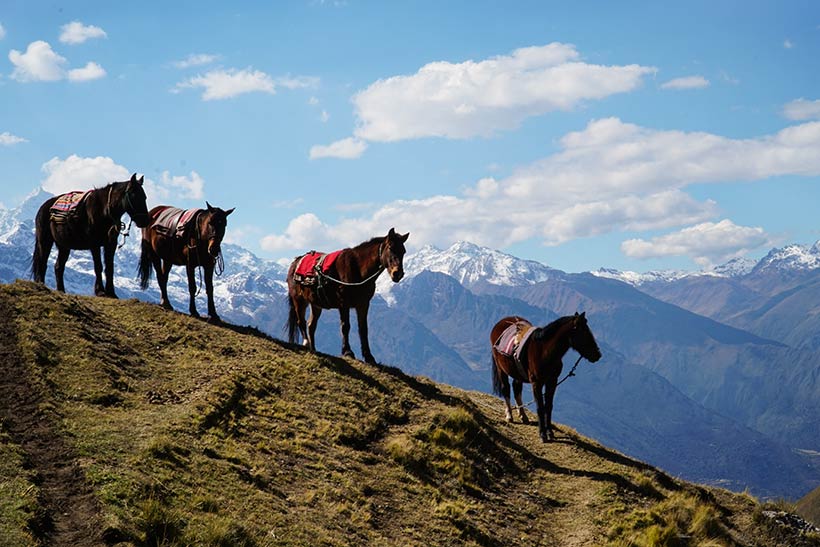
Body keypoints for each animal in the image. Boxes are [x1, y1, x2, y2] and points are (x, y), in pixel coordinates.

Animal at [286, 229, 410, 366]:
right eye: (390, 248)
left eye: (403, 251)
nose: (397, 274)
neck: (357, 269)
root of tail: (295, 263)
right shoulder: (343, 304)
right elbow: (345, 326)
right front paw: (347, 352)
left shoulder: (363, 304)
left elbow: (363, 329)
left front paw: (368, 356)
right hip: (299, 300)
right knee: (301, 322)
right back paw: (307, 344)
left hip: (316, 304)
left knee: (311, 325)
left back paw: (313, 348)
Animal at [490, 312, 600, 446]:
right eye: (584, 332)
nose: (597, 355)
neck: (544, 351)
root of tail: (501, 322)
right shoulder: (537, 383)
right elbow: (540, 408)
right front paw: (542, 434)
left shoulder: (552, 381)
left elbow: (548, 406)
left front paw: (550, 433)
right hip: (501, 369)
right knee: (506, 388)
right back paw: (509, 416)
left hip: (517, 373)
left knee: (517, 389)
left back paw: (523, 416)